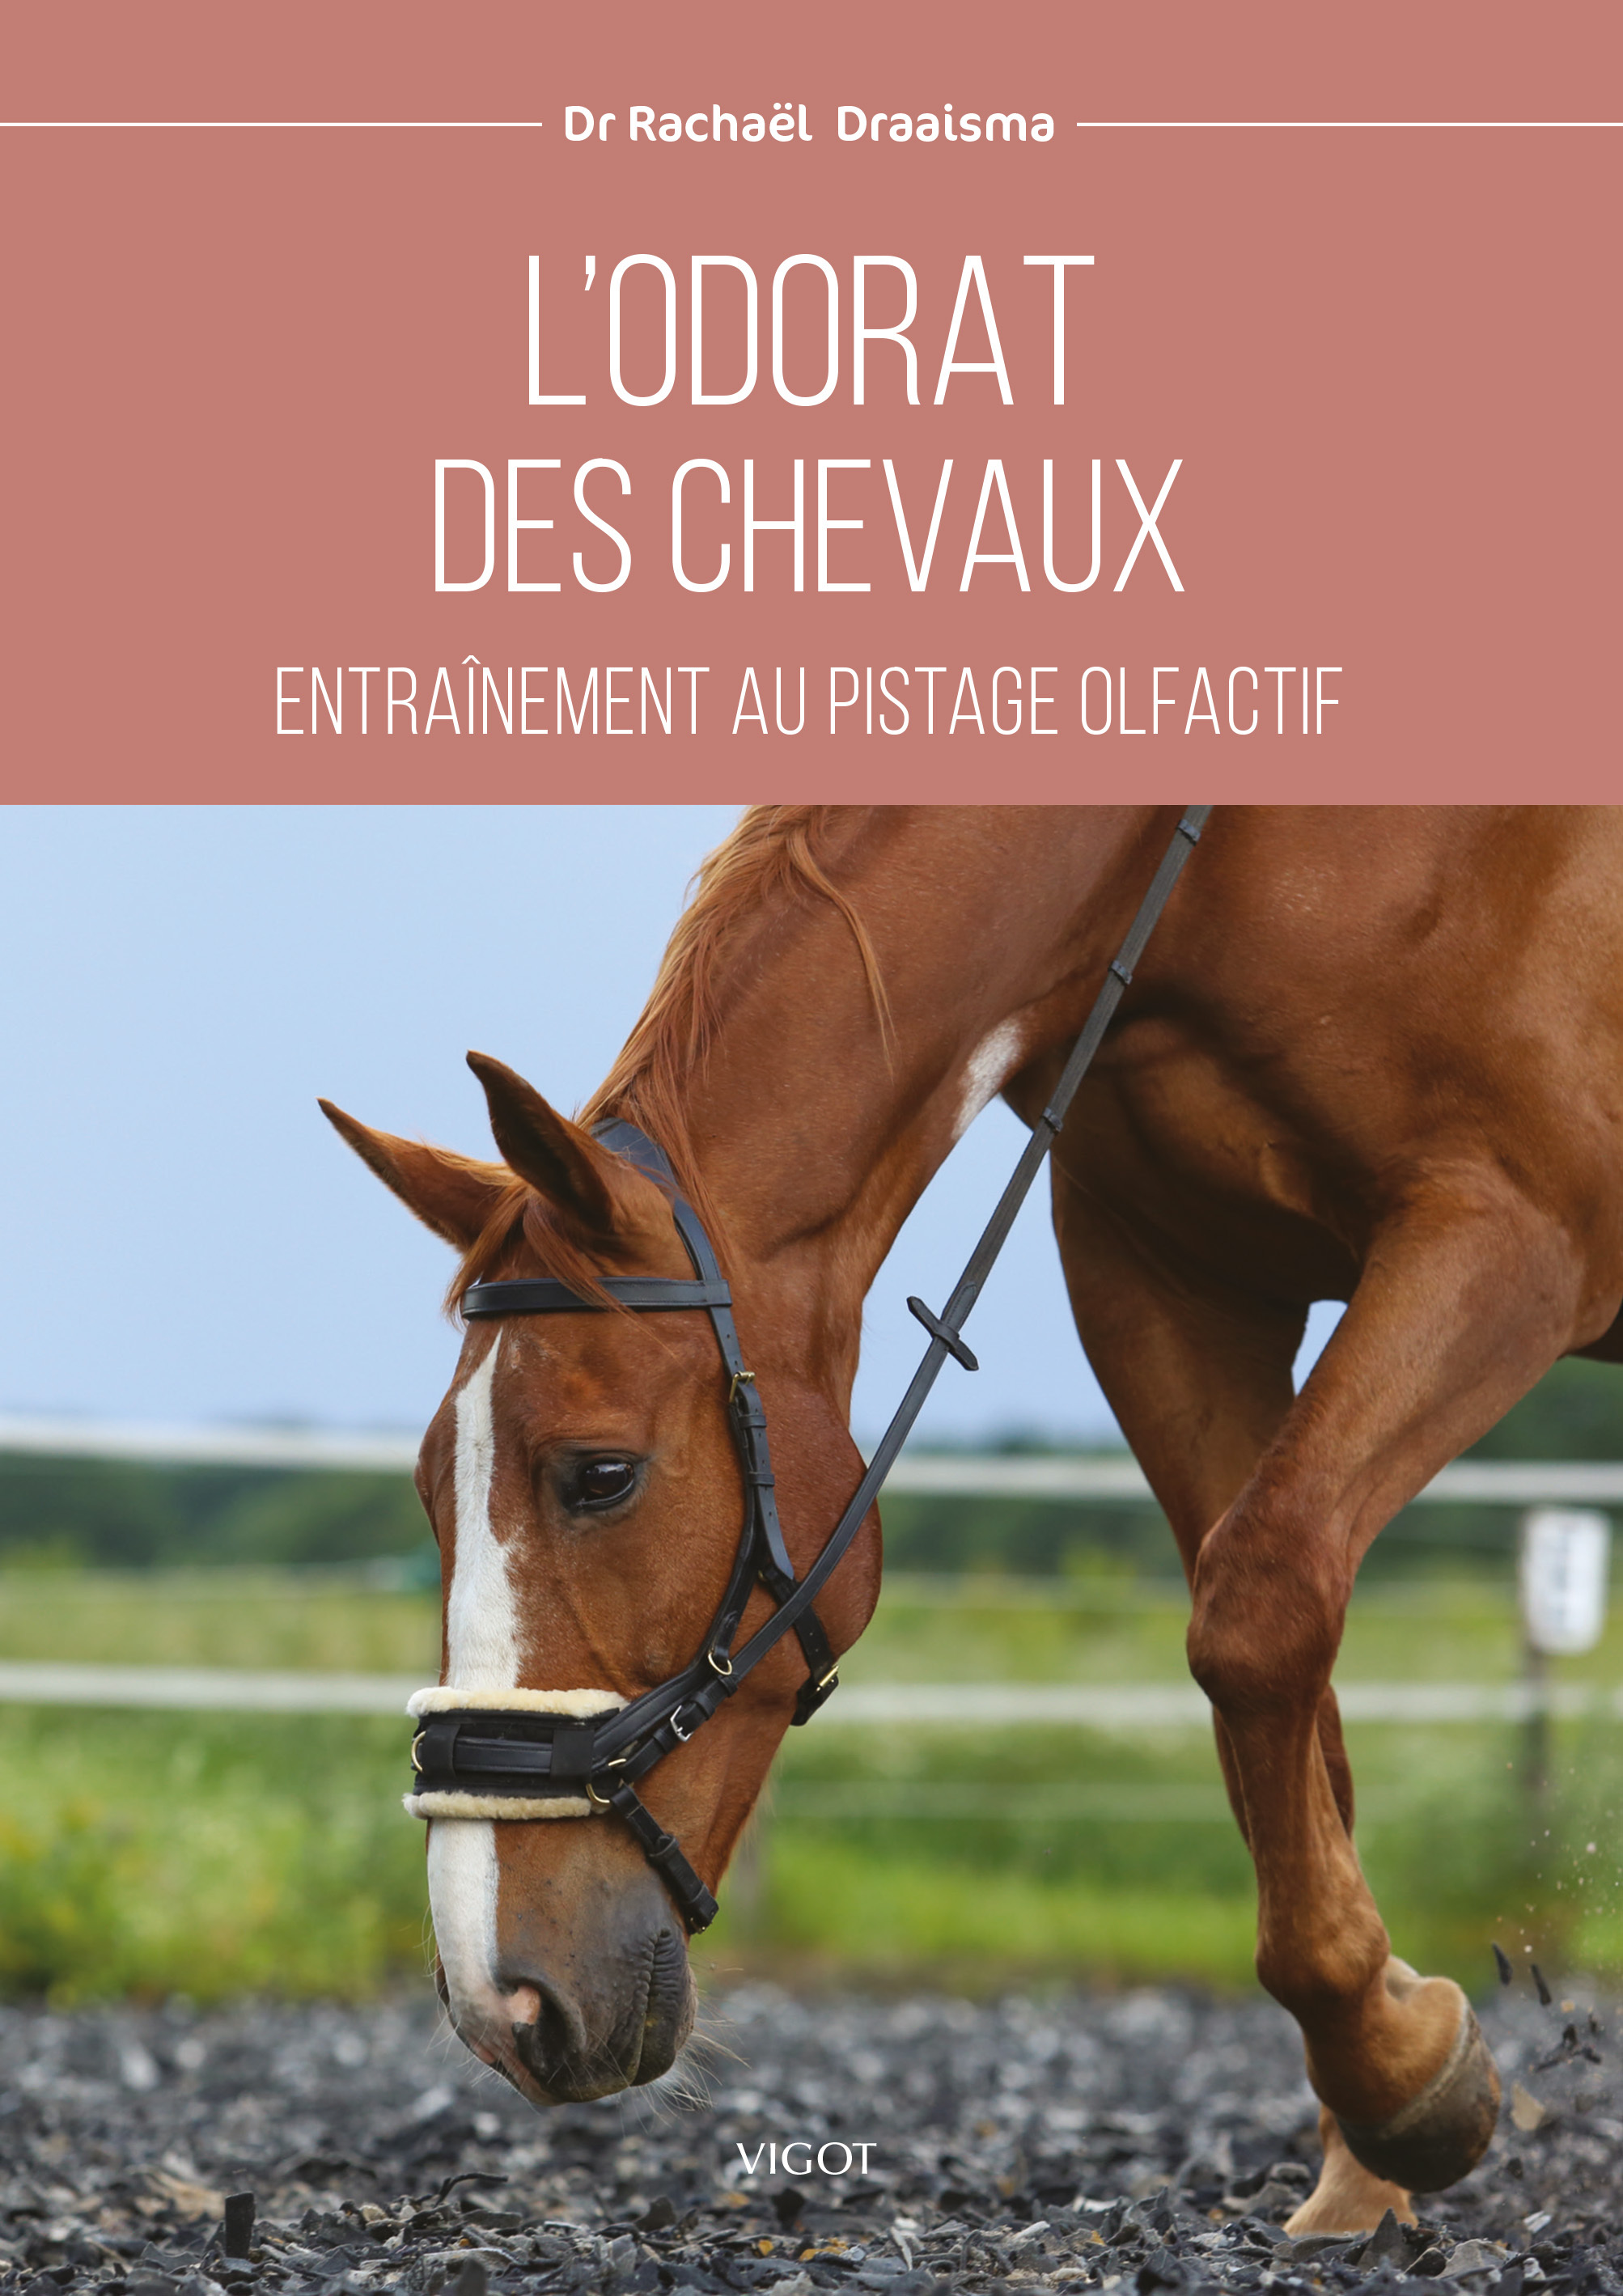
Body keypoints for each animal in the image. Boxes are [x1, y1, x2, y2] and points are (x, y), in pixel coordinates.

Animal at [322, 803, 1623, 2236]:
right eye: (429, 1488)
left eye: (597, 1473)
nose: (502, 2001)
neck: (1215, 865)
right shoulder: (1166, 1283)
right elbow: (1289, 1705)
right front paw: (1364, 2154)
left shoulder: (1508, 1233)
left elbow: (1260, 1602)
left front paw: (1404, 2086)